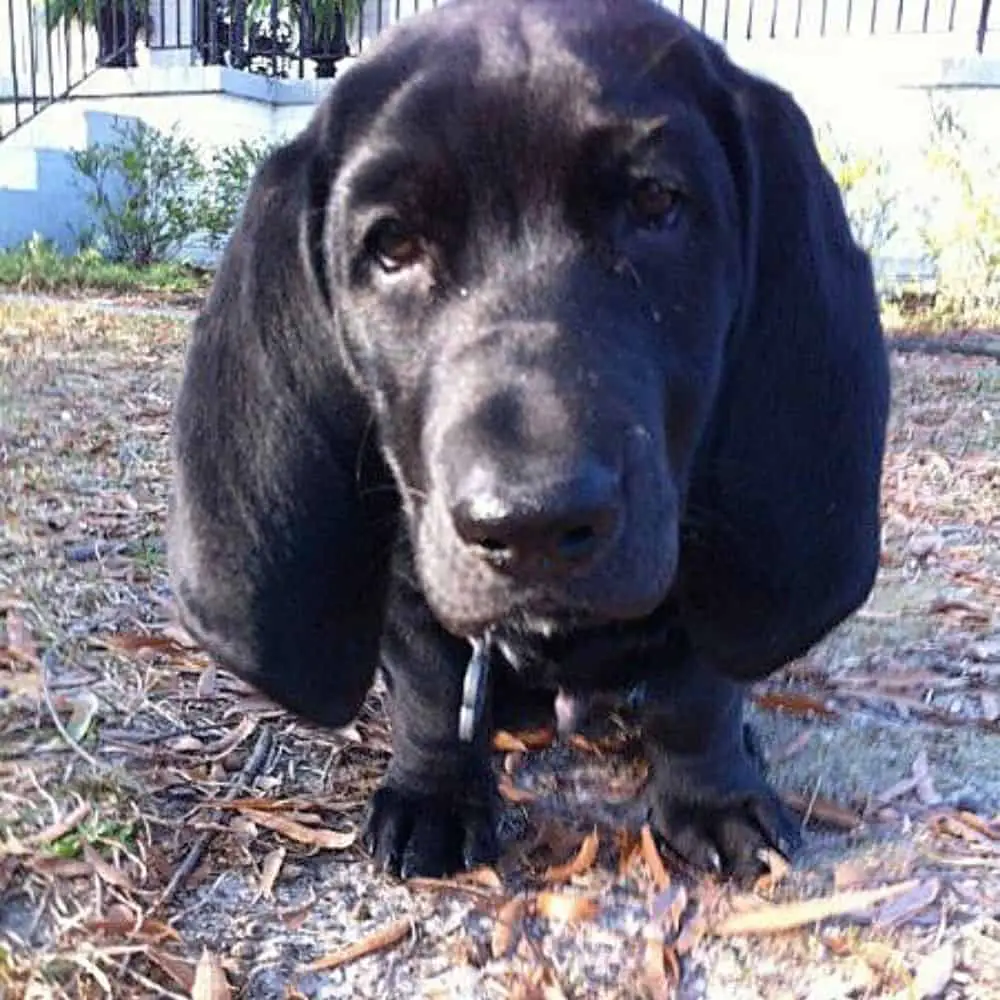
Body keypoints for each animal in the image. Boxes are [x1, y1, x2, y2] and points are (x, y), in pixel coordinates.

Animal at [168, 0, 896, 880]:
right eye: (392, 245)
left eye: (656, 203)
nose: (532, 524)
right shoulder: (409, 582)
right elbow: (429, 688)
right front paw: (435, 795)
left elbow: (698, 695)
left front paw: (715, 798)